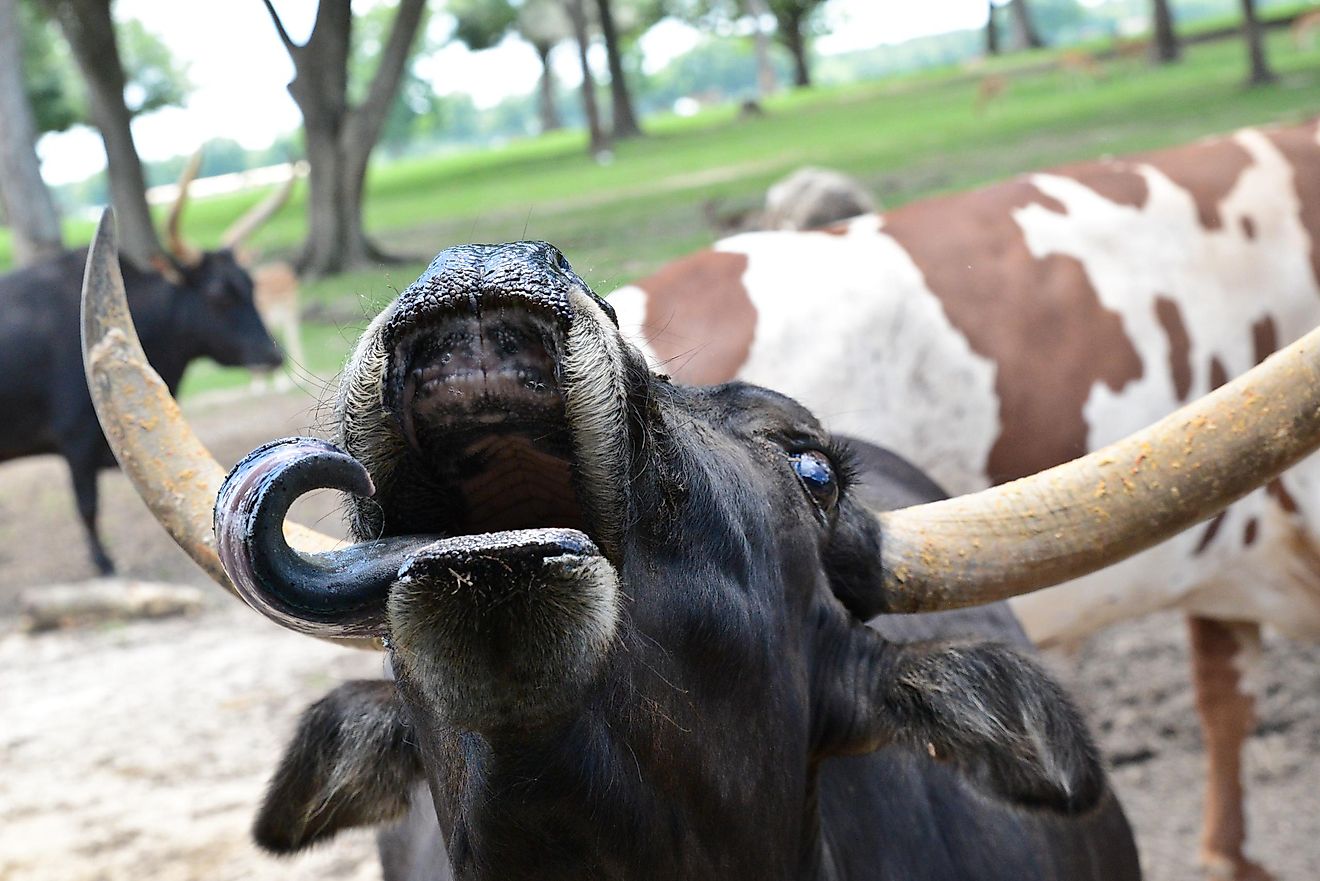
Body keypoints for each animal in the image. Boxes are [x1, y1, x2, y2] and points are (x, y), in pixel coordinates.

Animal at [0, 248, 278, 575]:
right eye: (218, 295)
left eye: (251, 286)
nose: (273, 353)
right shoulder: (77, 441)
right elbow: (87, 506)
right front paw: (103, 562)